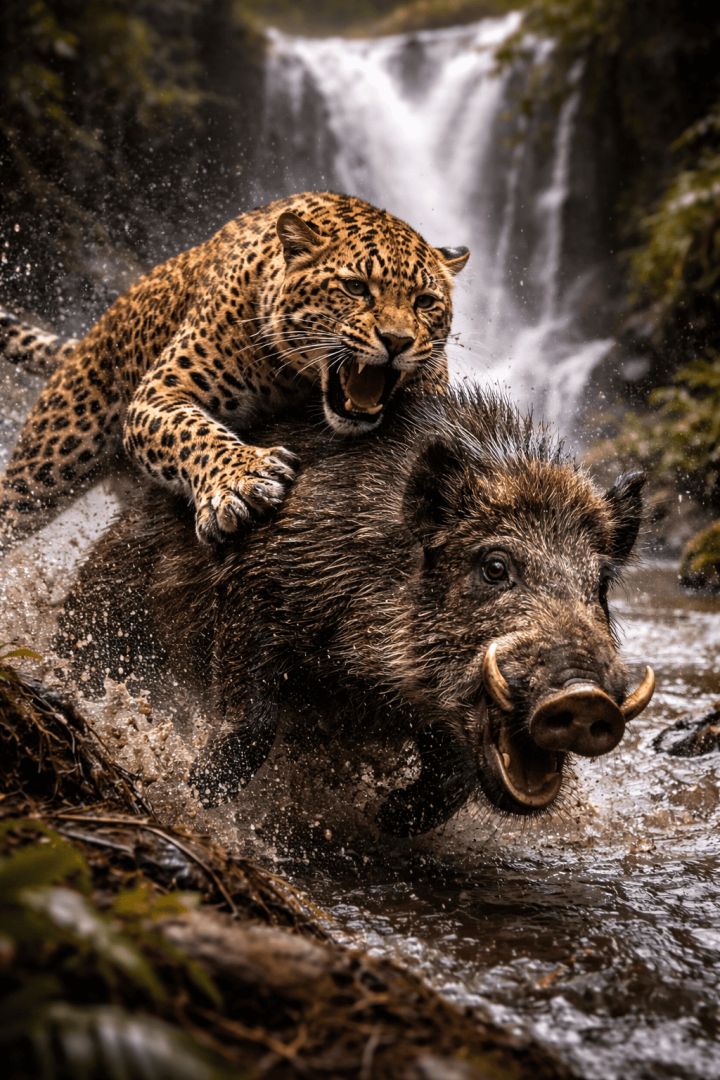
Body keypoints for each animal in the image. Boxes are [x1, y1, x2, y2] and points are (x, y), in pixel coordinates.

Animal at [0, 191, 469, 550]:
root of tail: (93, 333)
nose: (397, 341)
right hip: (52, 459)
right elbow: (189, 431)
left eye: (425, 301)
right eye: (355, 287)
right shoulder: (159, 393)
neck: (297, 384)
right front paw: (241, 479)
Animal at [57, 386, 655, 834]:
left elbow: (452, 775)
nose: (584, 695)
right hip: (103, 611)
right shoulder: (257, 595)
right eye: (494, 566)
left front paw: (386, 816)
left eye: (600, 585)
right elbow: (253, 717)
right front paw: (195, 786)